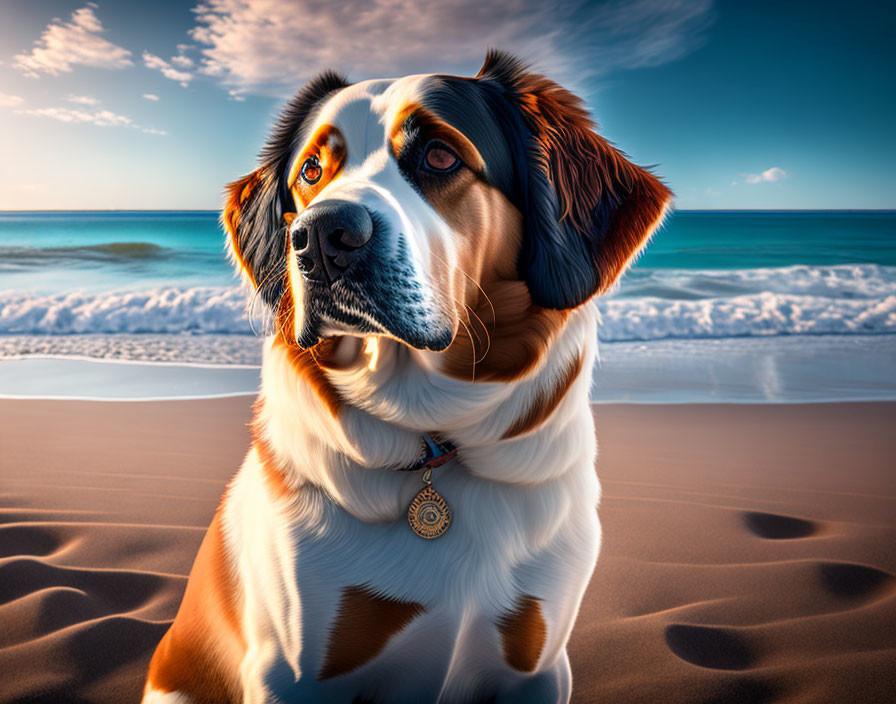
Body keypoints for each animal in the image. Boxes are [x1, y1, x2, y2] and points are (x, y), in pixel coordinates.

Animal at [142, 51, 672, 704]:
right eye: (311, 170)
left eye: (440, 156)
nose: (320, 235)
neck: (432, 443)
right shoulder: (292, 671)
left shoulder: (538, 666)